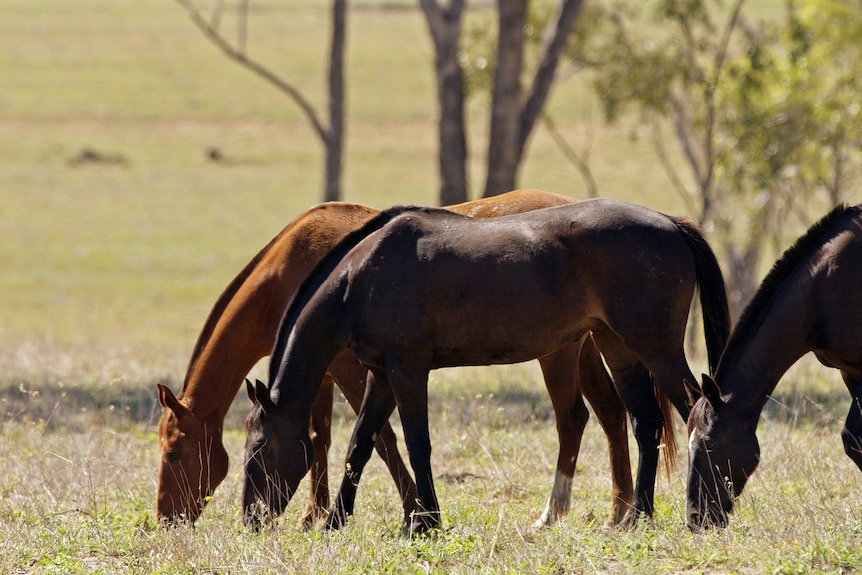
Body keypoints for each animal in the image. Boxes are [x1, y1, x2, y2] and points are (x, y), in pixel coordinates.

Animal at [246, 199, 732, 536]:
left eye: (258, 449)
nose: (251, 520)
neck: (363, 277)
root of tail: (669, 223)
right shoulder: (382, 377)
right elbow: (360, 445)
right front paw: (336, 521)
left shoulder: (408, 371)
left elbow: (417, 445)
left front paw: (425, 521)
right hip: (620, 349)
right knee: (646, 424)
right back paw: (635, 518)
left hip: (658, 351)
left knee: (694, 412)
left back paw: (698, 513)